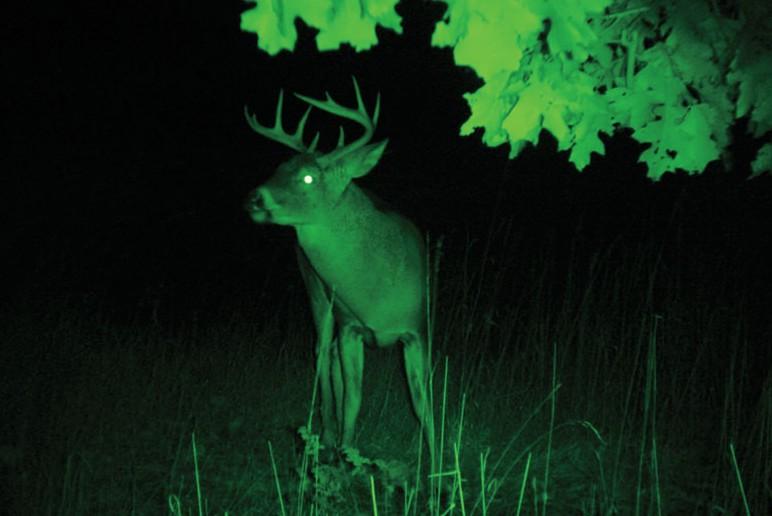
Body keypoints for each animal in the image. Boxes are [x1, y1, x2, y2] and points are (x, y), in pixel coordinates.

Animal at [243, 77, 436, 473]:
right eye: (279, 166)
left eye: (307, 176)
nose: (254, 198)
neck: (376, 289)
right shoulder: (351, 326)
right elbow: (353, 398)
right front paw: (348, 456)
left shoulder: (418, 329)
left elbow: (422, 402)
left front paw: (439, 459)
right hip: (317, 293)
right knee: (320, 352)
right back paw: (327, 438)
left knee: (327, 356)